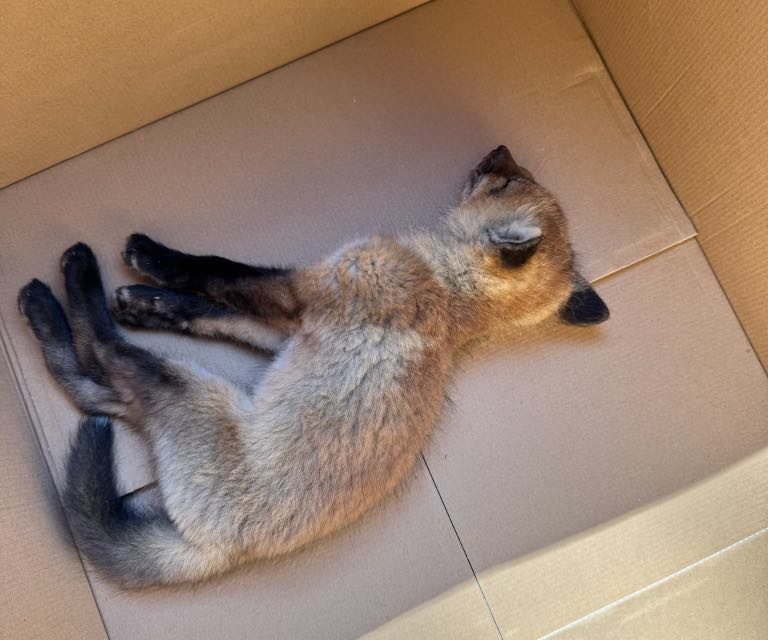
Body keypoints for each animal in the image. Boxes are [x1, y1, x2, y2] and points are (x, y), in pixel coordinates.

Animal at [18, 145, 608, 589]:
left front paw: (148, 260)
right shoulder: (287, 328)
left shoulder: (298, 294)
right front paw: (150, 305)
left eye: (505, 183)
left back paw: (63, 287)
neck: (446, 290)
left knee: (102, 357)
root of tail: (220, 551)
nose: (498, 148)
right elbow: (207, 312)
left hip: (186, 387)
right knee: (99, 392)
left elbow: (215, 271)